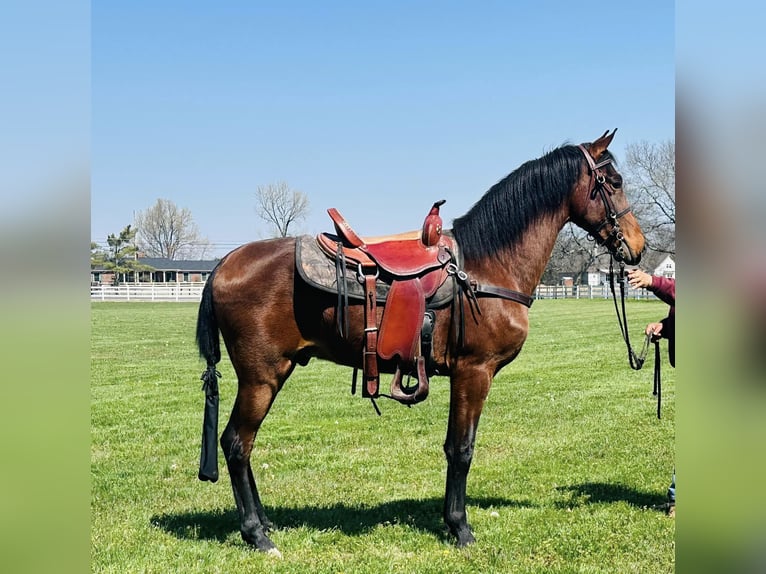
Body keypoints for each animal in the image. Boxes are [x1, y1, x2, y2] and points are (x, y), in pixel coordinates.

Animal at [195, 132, 644, 560]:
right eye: (615, 182)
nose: (637, 247)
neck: (485, 268)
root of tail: (224, 265)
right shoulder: (473, 372)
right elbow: (460, 449)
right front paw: (460, 528)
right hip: (261, 377)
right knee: (236, 444)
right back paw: (256, 535)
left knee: (243, 445)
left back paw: (264, 522)